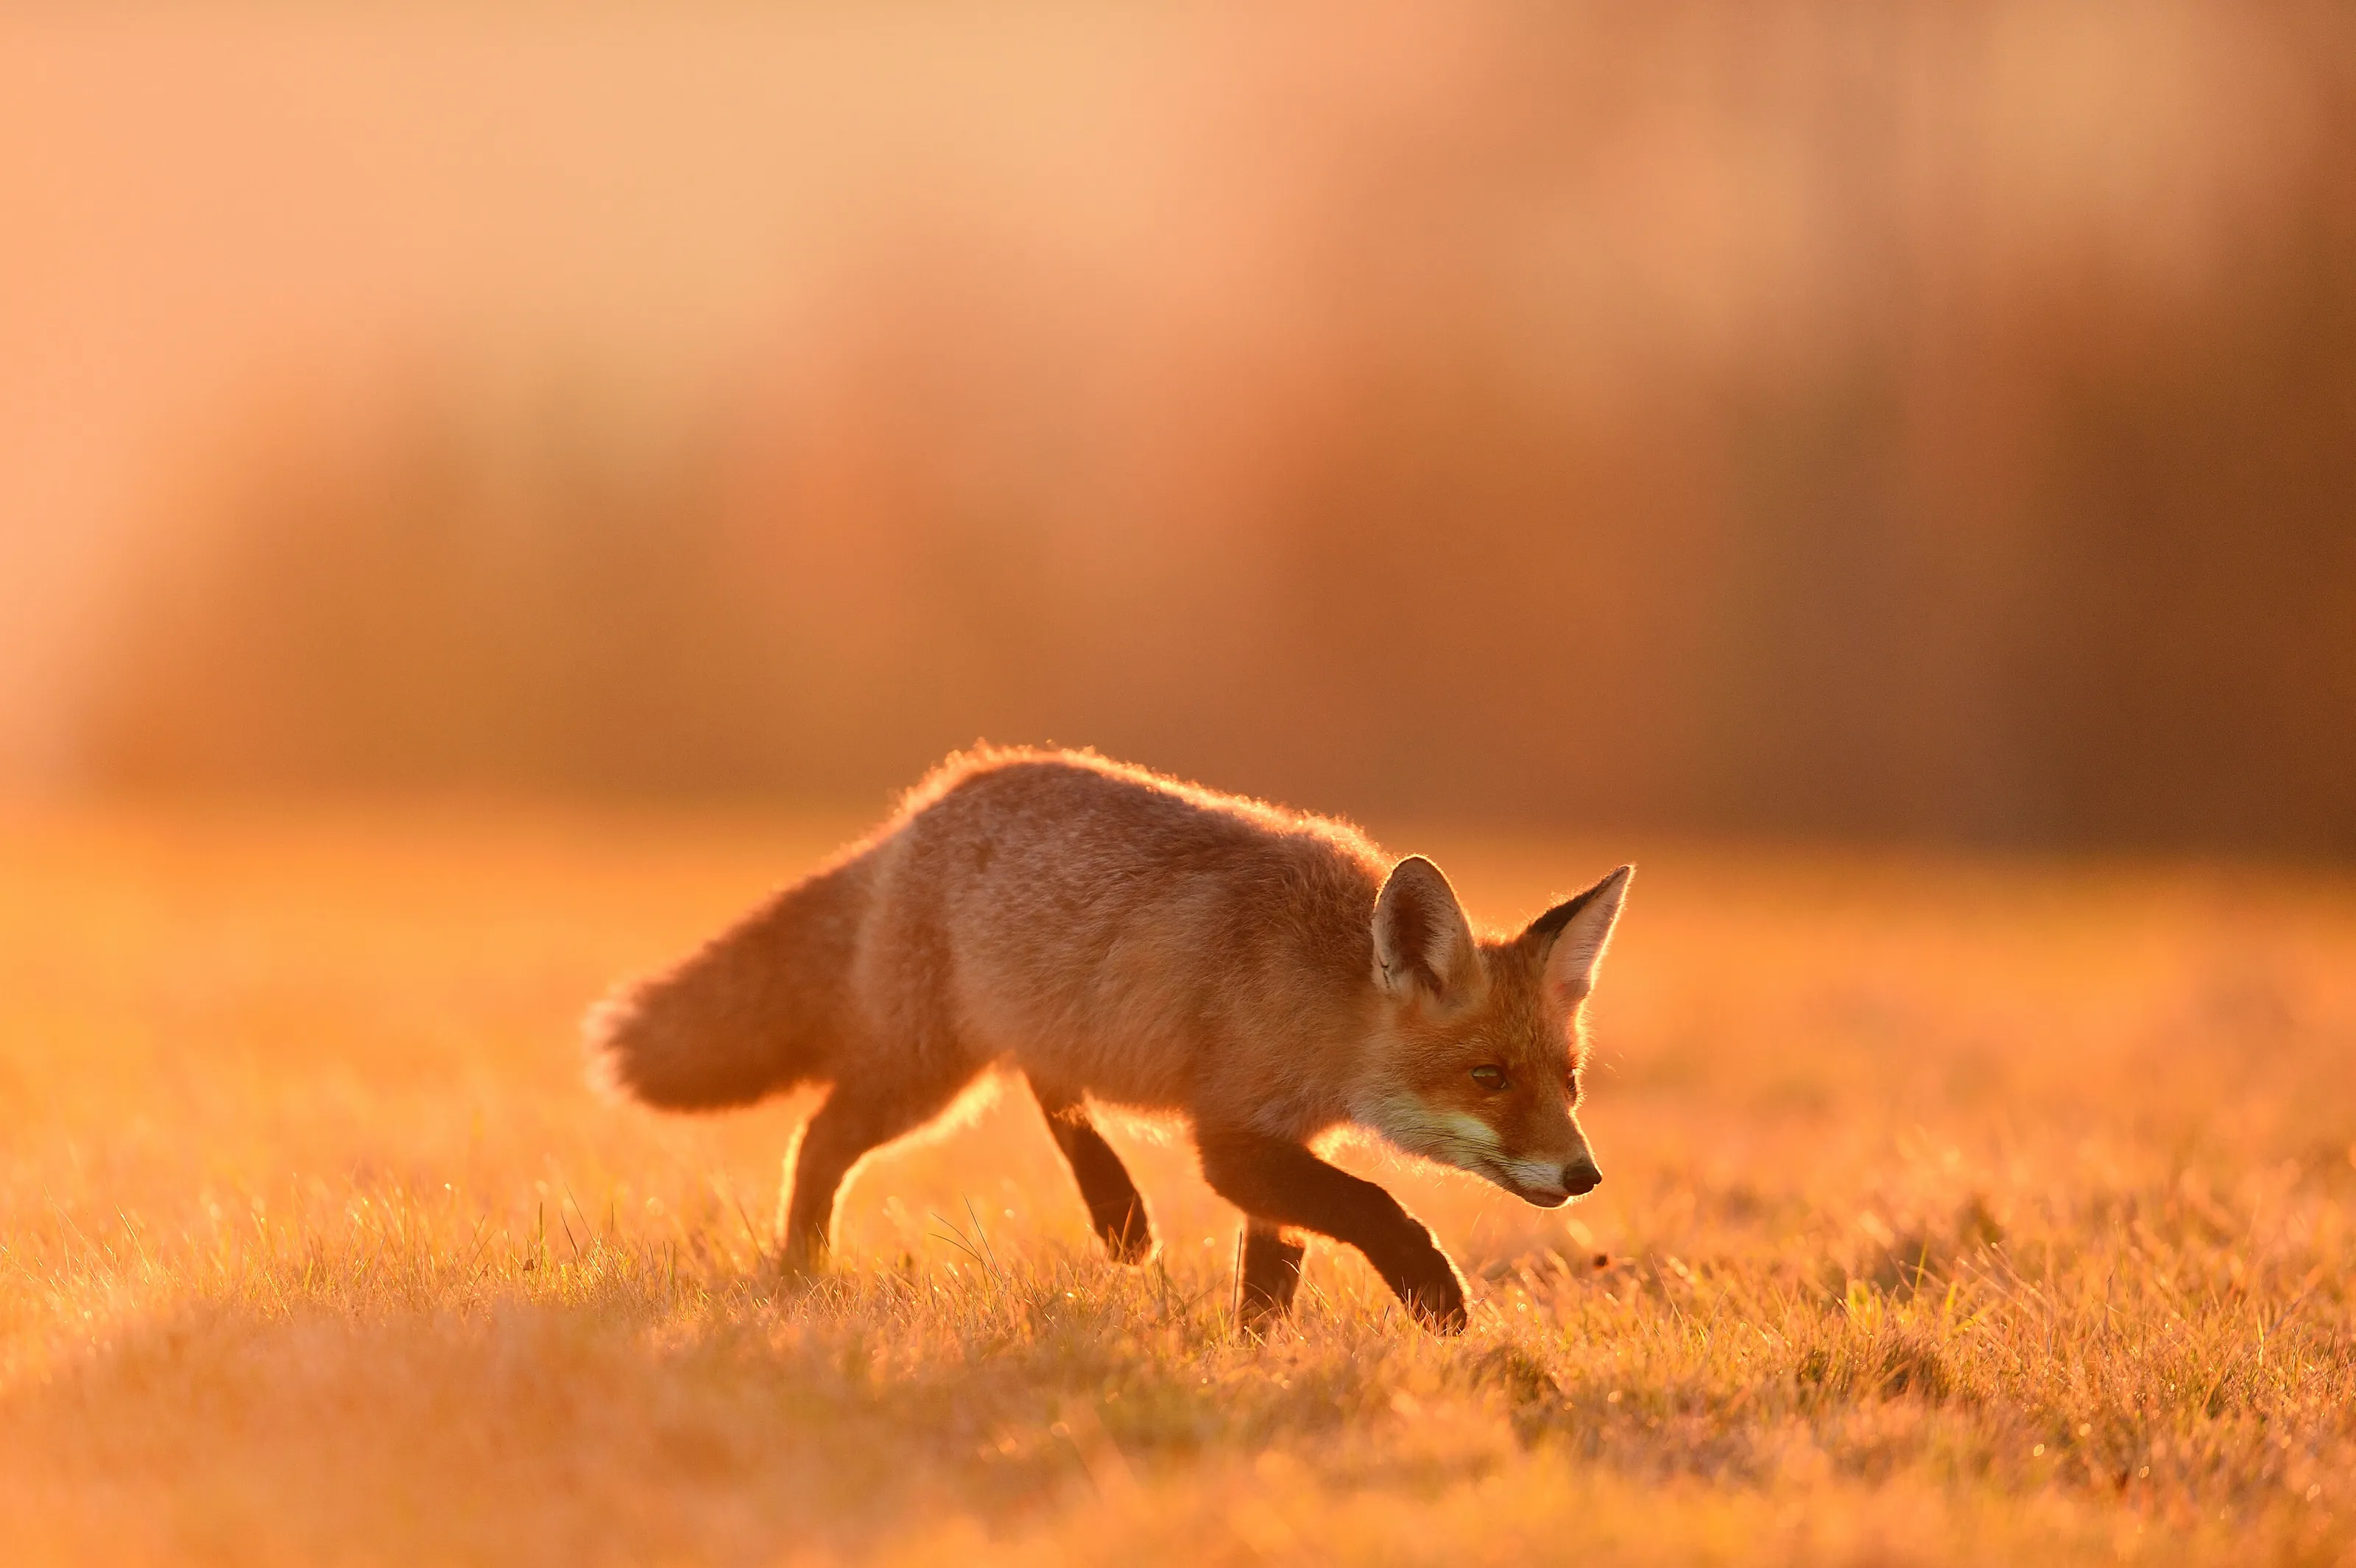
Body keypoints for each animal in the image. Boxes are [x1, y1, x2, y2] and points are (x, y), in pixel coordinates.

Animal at [585, 748, 1631, 1334]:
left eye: (1567, 1081)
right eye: (1487, 1076)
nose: (1584, 1176)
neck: (1317, 992)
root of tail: (928, 798)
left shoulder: (1281, 1143)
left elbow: (1274, 1271)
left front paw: (1251, 1363)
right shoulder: (1231, 1136)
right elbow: (1373, 1204)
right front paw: (1433, 1296)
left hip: (1026, 1030)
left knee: (1049, 1084)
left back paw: (1115, 1211)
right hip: (926, 1075)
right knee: (820, 1139)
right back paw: (801, 1274)